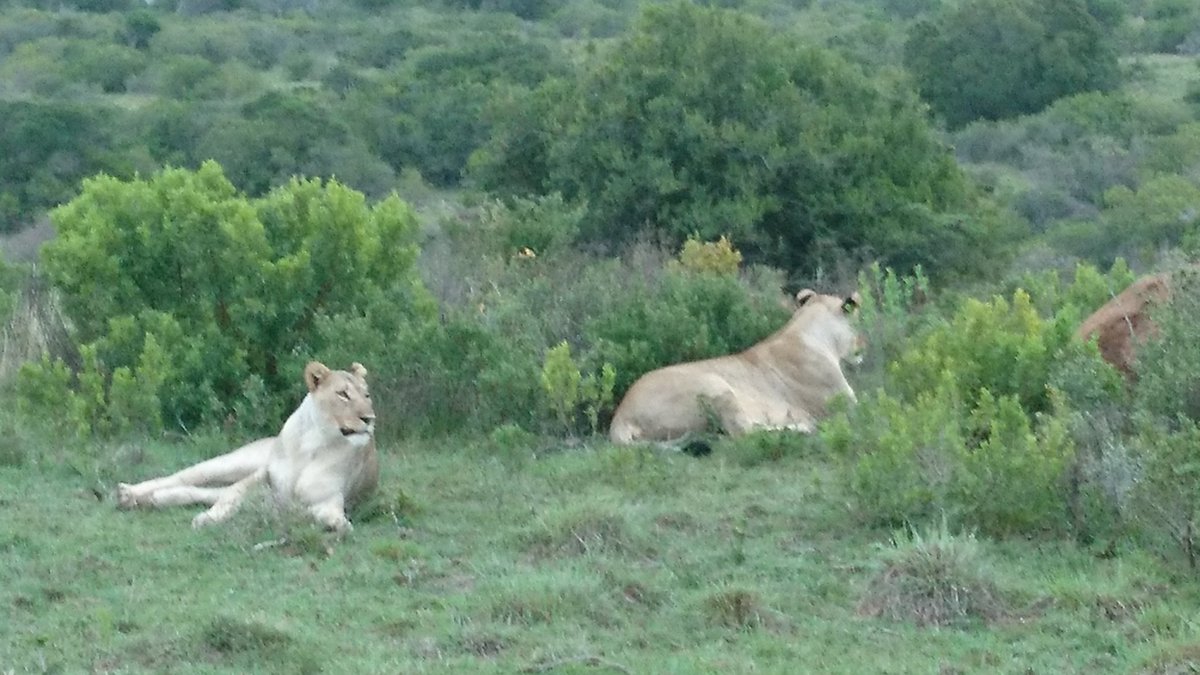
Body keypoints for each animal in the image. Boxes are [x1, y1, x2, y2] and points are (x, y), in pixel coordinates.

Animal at [117, 361, 378, 533]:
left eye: (366, 395)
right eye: (343, 394)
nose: (369, 418)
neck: (313, 443)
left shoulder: (329, 499)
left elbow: (332, 518)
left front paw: (332, 522)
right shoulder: (265, 476)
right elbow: (232, 496)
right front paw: (208, 520)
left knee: (203, 492)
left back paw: (154, 499)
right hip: (230, 463)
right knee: (183, 478)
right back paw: (129, 493)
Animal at [609, 289, 863, 445]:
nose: (863, 345)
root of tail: (620, 416)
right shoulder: (845, 405)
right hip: (714, 385)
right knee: (741, 433)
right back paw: (800, 427)